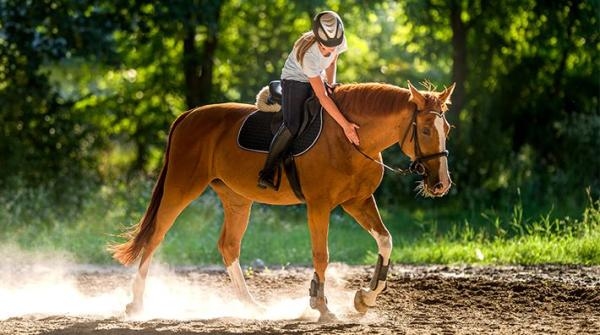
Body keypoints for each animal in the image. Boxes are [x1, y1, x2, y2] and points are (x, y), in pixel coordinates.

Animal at [111, 80, 454, 322]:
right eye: (425, 129)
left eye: (446, 128)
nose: (441, 184)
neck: (350, 138)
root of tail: (188, 115)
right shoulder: (319, 205)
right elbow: (321, 255)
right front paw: (321, 306)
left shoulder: (358, 201)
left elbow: (385, 241)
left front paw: (364, 298)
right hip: (181, 188)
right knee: (155, 237)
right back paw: (136, 304)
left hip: (237, 199)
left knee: (228, 246)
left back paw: (251, 305)